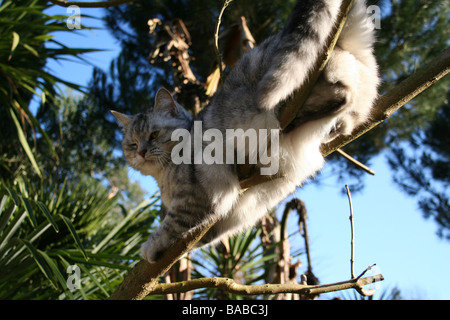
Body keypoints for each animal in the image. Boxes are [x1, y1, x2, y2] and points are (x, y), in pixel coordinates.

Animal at [112, 0, 380, 262]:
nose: (142, 152)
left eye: (154, 135)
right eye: (132, 144)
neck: (164, 176)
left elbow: (170, 226)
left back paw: (290, 119)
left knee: (336, 94)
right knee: (346, 102)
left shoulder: (195, 197)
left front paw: (150, 248)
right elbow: (196, 240)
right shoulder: (224, 220)